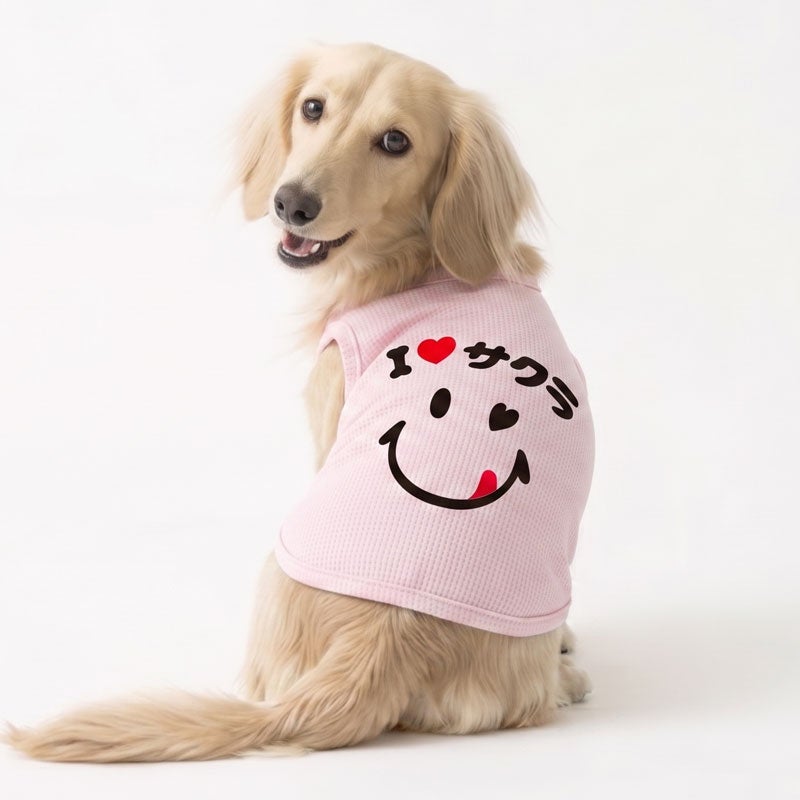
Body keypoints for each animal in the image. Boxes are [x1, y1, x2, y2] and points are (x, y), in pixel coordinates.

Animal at [7, 42, 594, 762]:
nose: (292, 203)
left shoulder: (331, 403)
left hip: (274, 563)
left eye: (395, 141)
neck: (421, 262)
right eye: (313, 107)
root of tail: (386, 640)